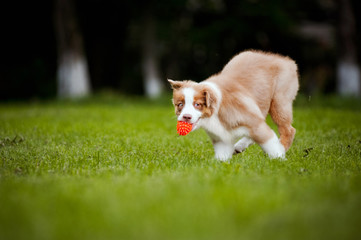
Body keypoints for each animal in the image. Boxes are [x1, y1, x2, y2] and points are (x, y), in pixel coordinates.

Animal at [169, 49, 298, 160]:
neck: (215, 113)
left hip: (279, 101)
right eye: (180, 104)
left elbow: (271, 143)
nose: (186, 117)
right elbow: (222, 156)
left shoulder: (253, 122)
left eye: (197, 104)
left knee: (288, 130)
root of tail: (285, 60)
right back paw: (239, 146)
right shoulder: (221, 138)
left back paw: (282, 148)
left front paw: (279, 159)